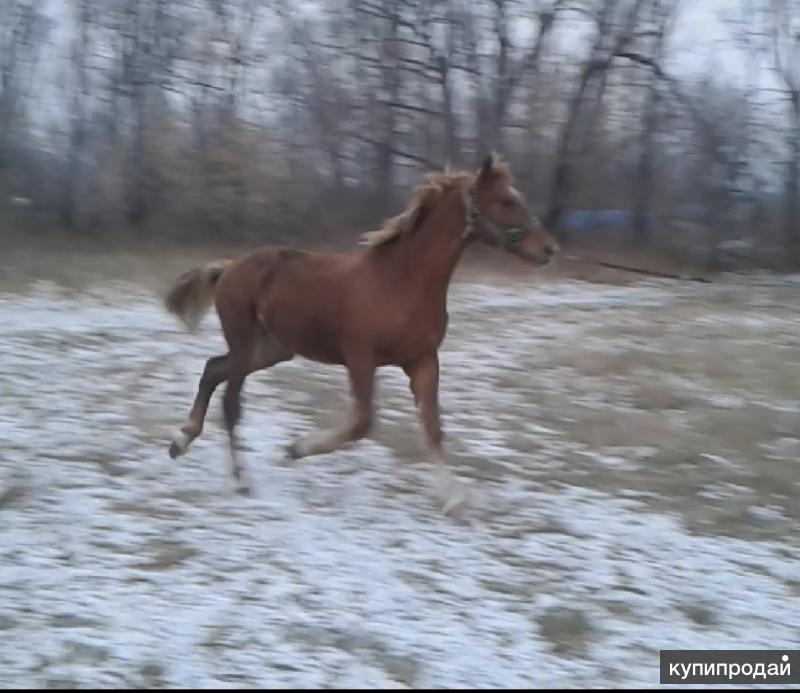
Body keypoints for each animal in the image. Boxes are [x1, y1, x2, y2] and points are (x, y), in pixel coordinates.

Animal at [164, 154, 556, 510]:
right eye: (506, 201)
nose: (549, 249)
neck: (401, 282)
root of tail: (230, 267)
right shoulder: (360, 358)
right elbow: (363, 424)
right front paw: (294, 449)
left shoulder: (423, 361)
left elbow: (432, 427)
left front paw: (453, 498)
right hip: (246, 342)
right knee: (230, 402)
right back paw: (240, 480)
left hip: (273, 348)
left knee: (213, 369)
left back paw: (180, 442)